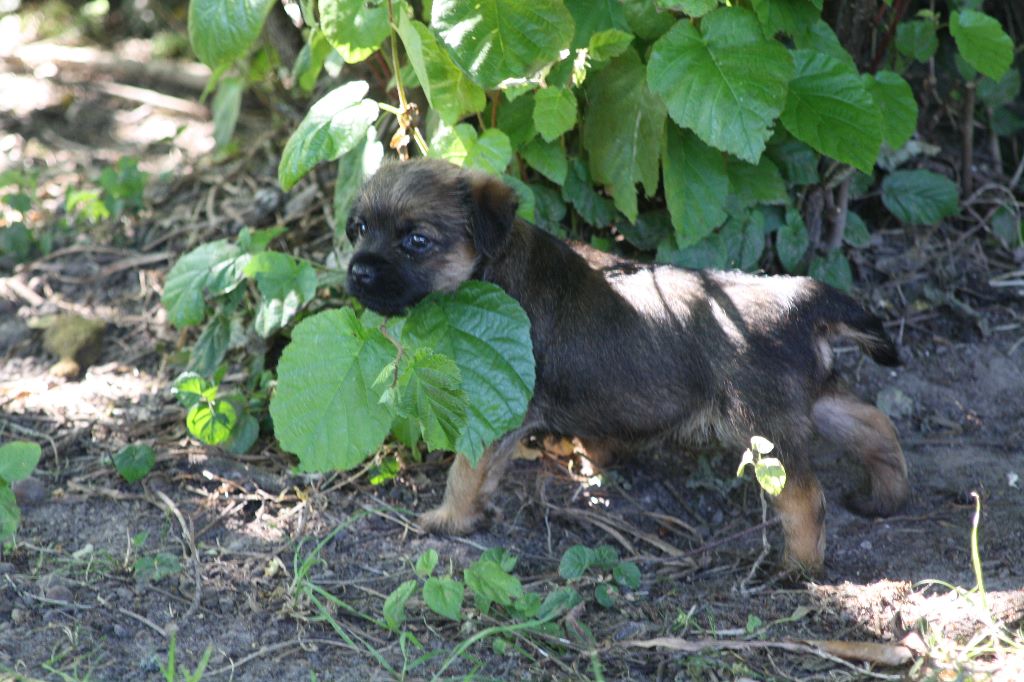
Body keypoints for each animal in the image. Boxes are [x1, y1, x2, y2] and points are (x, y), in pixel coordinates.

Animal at [348, 156, 909, 569]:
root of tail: (799, 297)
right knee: (875, 426)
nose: (357, 272)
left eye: (416, 241)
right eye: (358, 229)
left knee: (804, 497)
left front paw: (448, 520)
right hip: (813, 399)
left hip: (764, 429)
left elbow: (464, 474)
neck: (495, 265)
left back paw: (800, 568)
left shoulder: (492, 419)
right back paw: (884, 499)